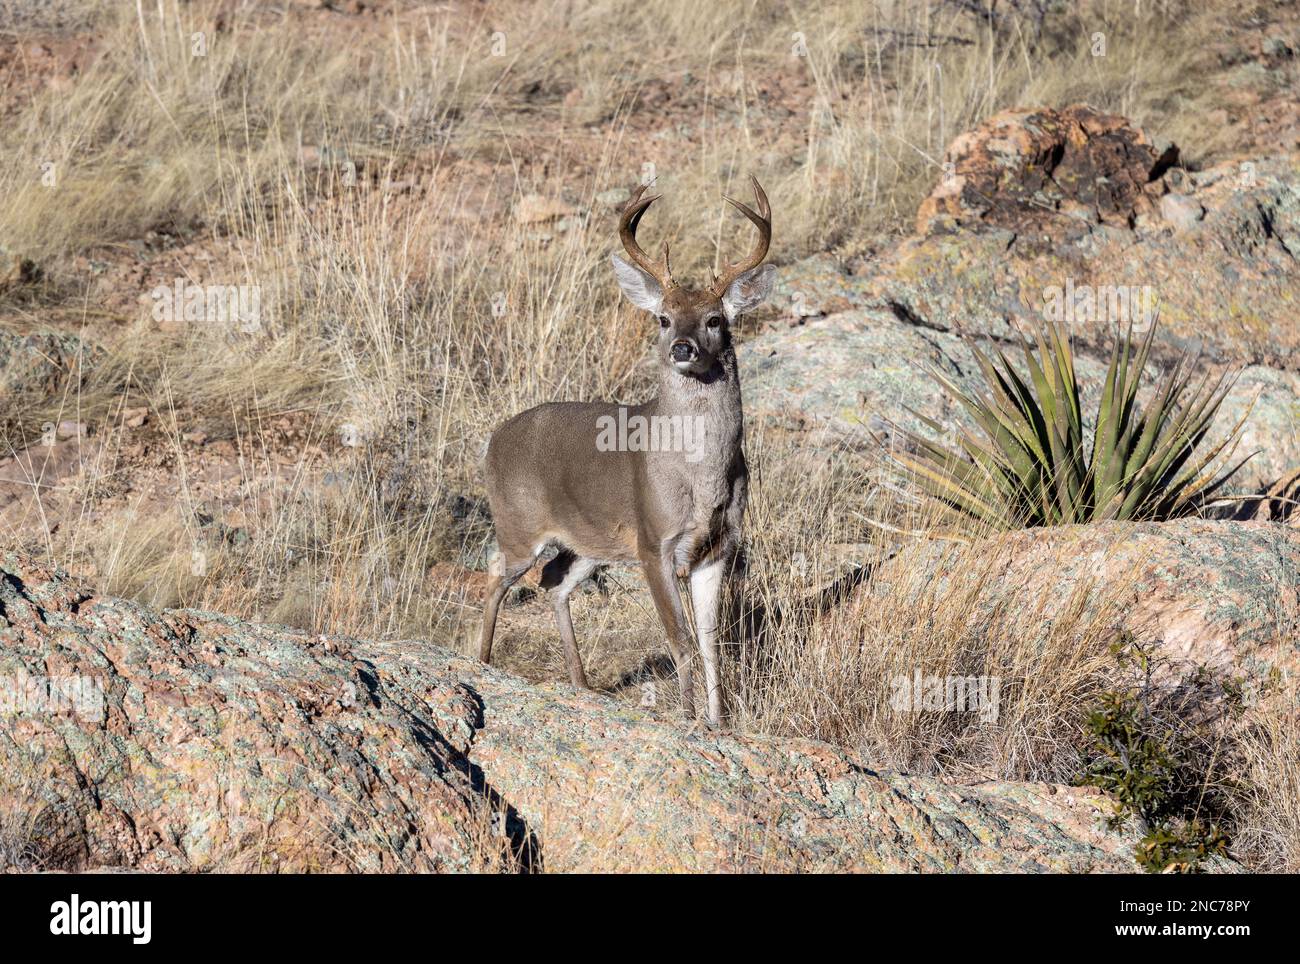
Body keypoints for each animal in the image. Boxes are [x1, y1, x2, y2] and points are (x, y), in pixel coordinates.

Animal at [477, 176, 774, 727]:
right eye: (662, 318)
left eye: (715, 319)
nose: (682, 348)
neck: (701, 477)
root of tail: (495, 438)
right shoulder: (654, 541)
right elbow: (679, 640)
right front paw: (689, 718)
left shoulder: (719, 546)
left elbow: (710, 643)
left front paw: (720, 722)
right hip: (517, 522)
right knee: (496, 575)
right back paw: (482, 661)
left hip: (588, 543)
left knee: (553, 582)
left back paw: (581, 684)